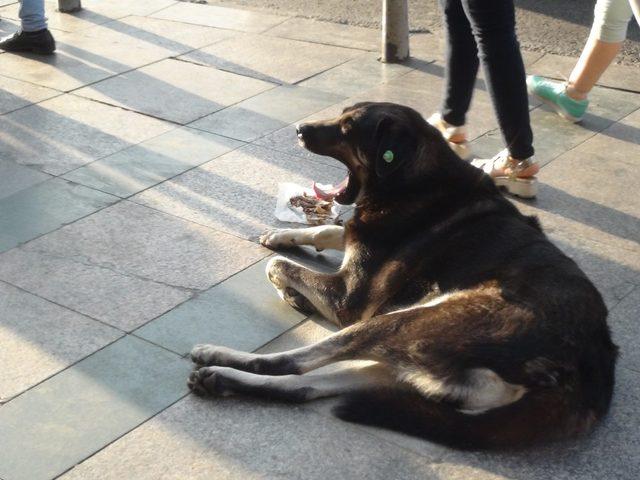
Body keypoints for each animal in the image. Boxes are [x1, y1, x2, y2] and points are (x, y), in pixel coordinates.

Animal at [188, 101, 616, 450]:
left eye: (347, 127)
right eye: (341, 116)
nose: (299, 129)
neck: (415, 179)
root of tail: (587, 369)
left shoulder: (348, 299)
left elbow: (278, 265)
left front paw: (290, 289)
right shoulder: (357, 236)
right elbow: (330, 230)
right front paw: (282, 235)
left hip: (400, 323)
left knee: (290, 363)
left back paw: (217, 357)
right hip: (404, 363)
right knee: (303, 387)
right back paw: (221, 380)